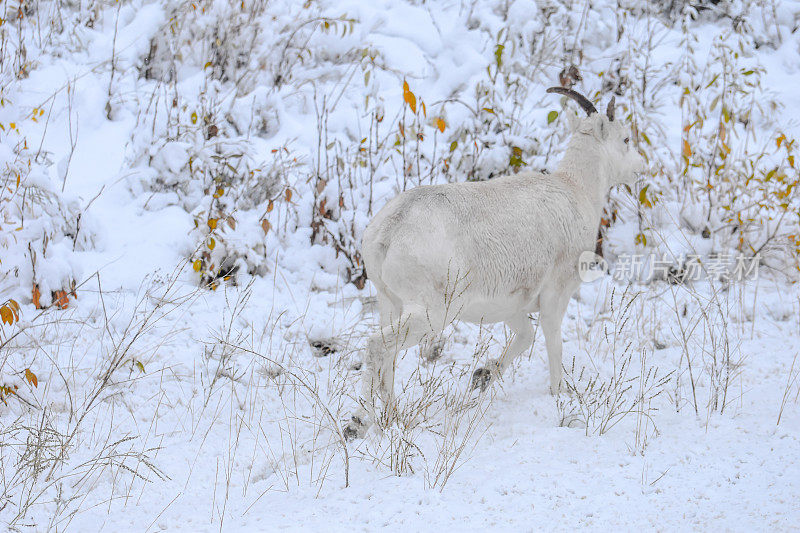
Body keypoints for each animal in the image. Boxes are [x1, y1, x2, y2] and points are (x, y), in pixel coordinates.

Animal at [346, 86, 648, 436]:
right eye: (625, 138)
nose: (640, 168)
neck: (576, 191)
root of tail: (387, 231)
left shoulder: (513, 308)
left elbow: (525, 337)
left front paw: (483, 376)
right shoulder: (555, 297)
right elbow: (553, 344)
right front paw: (559, 396)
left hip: (390, 303)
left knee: (388, 361)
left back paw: (392, 419)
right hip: (431, 314)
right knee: (377, 347)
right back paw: (357, 423)